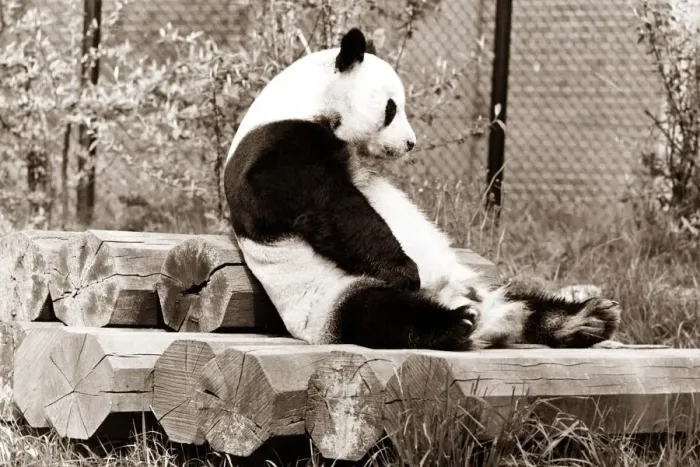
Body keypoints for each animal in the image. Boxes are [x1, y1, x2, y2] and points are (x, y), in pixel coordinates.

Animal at [223, 28, 621, 350]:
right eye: (391, 108)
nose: (410, 143)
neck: (304, 100)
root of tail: (492, 316)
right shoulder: (277, 146)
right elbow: (328, 204)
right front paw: (403, 270)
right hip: (329, 297)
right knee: (380, 313)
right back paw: (458, 322)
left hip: (479, 279)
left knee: (524, 298)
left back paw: (582, 319)